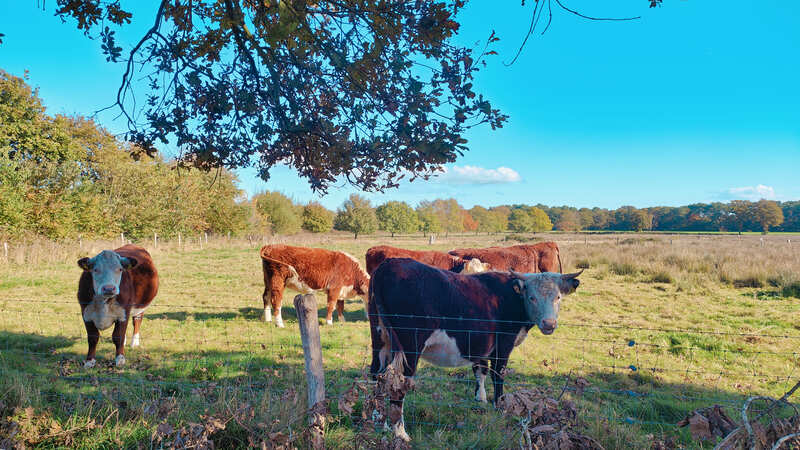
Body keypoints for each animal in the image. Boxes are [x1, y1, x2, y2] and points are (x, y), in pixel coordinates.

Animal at [368, 258, 580, 442]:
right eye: (532, 297)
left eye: (558, 297)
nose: (549, 324)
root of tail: (389, 264)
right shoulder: (503, 343)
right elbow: (498, 374)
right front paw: (499, 406)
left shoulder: (479, 343)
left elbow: (480, 370)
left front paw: (481, 398)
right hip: (409, 346)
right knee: (398, 381)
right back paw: (400, 432)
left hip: (380, 340)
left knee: (376, 374)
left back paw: (379, 421)